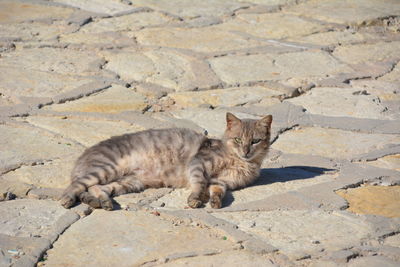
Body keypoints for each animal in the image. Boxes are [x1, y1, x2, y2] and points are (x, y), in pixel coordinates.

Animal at [59, 112, 272, 210]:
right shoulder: (198, 164)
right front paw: (195, 199)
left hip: (128, 183)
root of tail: (82, 157)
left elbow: (217, 192)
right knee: (77, 185)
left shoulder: (220, 182)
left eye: (255, 141)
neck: (241, 163)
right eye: (238, 140)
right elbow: (199, 184)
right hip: (107, 169)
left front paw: (214, 201)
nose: (246, 151)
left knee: (96, 189)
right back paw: (68, 199)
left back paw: (102, 203)